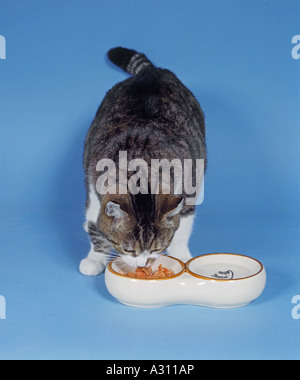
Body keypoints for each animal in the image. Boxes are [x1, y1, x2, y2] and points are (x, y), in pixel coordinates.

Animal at [79, 47, 206, 276]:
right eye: (129, 250)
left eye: (156, 248)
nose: (143, 264)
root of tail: (152, 71)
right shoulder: (93, 191)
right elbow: (97, 227)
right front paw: (94, 258)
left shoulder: (187, 187)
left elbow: (181, 228)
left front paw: (181, 257)